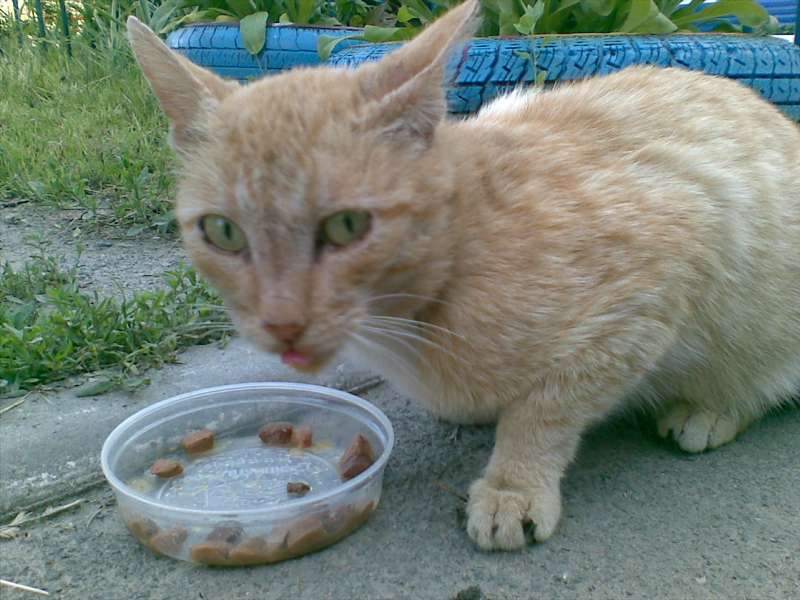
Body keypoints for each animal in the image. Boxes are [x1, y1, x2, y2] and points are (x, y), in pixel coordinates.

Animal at [127, 0, 800, 551]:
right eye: (222, 232)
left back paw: (712, 409)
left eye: (346, 225)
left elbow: (548, 408)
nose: (282, 322)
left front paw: (514, 485)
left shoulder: (661, 273)